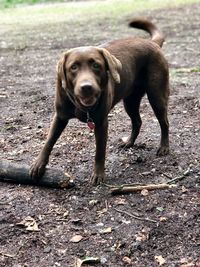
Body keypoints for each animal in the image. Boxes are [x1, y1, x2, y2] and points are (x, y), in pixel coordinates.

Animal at [30, 18, 169, 185]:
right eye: (73, 67)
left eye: (96, 65)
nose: (86, 87)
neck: (81, 106)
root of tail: (151, 43)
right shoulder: (60, 117)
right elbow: (49, 141)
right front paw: (38, 164)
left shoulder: (101, 122)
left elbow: (100, 151)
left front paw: (98, 174)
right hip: (130, 101)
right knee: (137, 121)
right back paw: (129, 142)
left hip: (157, 96)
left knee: (164, 123)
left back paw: (164, 147)